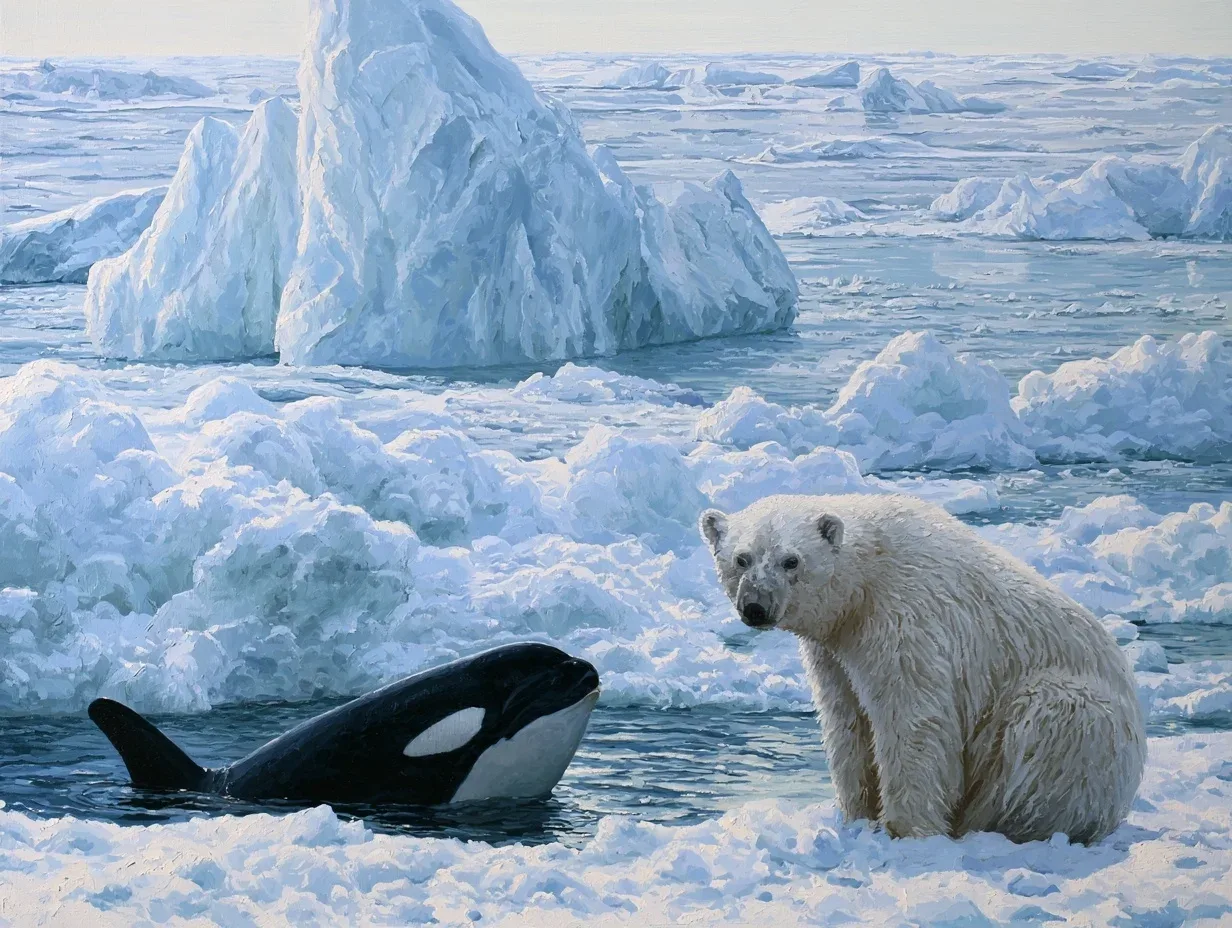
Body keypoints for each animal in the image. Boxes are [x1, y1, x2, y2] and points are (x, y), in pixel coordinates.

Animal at [699, 492, 1146, 844]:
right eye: (742, 559)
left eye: (791, 561)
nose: (755, 607)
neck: (866, 580)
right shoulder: (835, 649)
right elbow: (846, 720)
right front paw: (855, 816)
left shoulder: (906, 620)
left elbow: (912, 719)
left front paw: (905, 828)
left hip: (1079, 722)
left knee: (1047, 724)